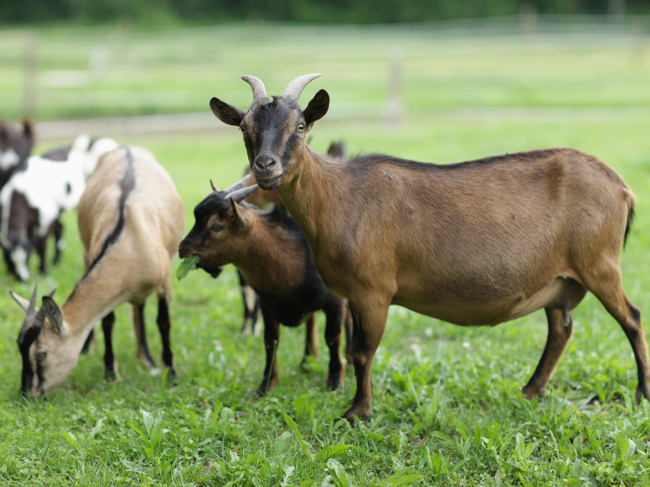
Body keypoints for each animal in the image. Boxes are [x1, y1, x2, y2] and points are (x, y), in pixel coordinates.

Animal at [0, 134, 117, 282]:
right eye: (8, 260)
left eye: (27, 257)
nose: (22, 279)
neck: (19, 194)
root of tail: (71, 150)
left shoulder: (46, 216)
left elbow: (40, 244)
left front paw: (43, 270)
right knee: (60, 227)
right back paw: (56, 261)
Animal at [12, 147, 185, 398]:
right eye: (20, 348)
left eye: (41, 354)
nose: (27, 393)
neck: (130, 241)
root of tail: (127, 148)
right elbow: (108, 321)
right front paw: (111, 372)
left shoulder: (165, 280)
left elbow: (163, 322)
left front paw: (170, 373)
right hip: (86, 251)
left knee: (140, 306)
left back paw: (147, 358)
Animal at [177, 175, 352, 396]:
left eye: (216, 227)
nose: (181, 249)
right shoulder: (267, 304)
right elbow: (270, 341)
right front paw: (267, 384)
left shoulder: (335, 301)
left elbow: (332, 337)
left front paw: (335, 379)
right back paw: (306, 361)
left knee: (349, 320)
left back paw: (350, 359)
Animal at [210, 72, 644, 424]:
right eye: (244, 127)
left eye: (300, 125)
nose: (265, 166)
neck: (341, 198)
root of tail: (621, 186)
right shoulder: (347, 294)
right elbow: (349, 348)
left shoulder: (373, 289)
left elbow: (362, 352)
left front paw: (357, 412)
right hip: (557, 278)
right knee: (561, 329)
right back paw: (531, 390)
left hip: (600, 262)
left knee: (632, 318)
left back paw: (641, 393)